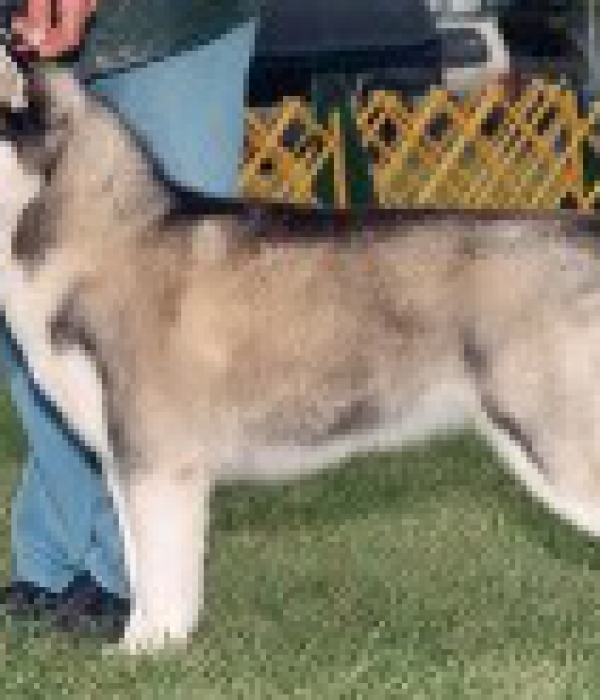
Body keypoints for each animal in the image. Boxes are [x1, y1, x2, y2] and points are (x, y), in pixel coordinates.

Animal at [2, 46, 600, 654]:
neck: (103, 237)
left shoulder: (159, 457)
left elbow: (163, 576)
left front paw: (153, 653)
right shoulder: (127, 461)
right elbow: (143, 575)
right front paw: (133, 647)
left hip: (556, 438)